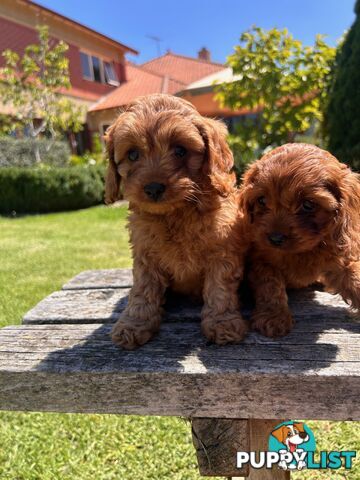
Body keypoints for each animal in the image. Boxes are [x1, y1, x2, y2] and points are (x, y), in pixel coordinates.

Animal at [105, 94, 249, 348]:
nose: (153, 188)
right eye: (132, 154)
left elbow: (220, 289)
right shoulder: (145, 254)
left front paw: (223, 323)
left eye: (181, 151)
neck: (175, 213)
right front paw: (134, 324)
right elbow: (143, 290)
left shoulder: (222, 251)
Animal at [240, 142, 360, 338]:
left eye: (308, 205)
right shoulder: (260, 260)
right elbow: (270, 284)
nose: (275, 238)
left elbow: (353, 275)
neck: (302, 252)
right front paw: (274, 317)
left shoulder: (338, 256)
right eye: (262, 200)